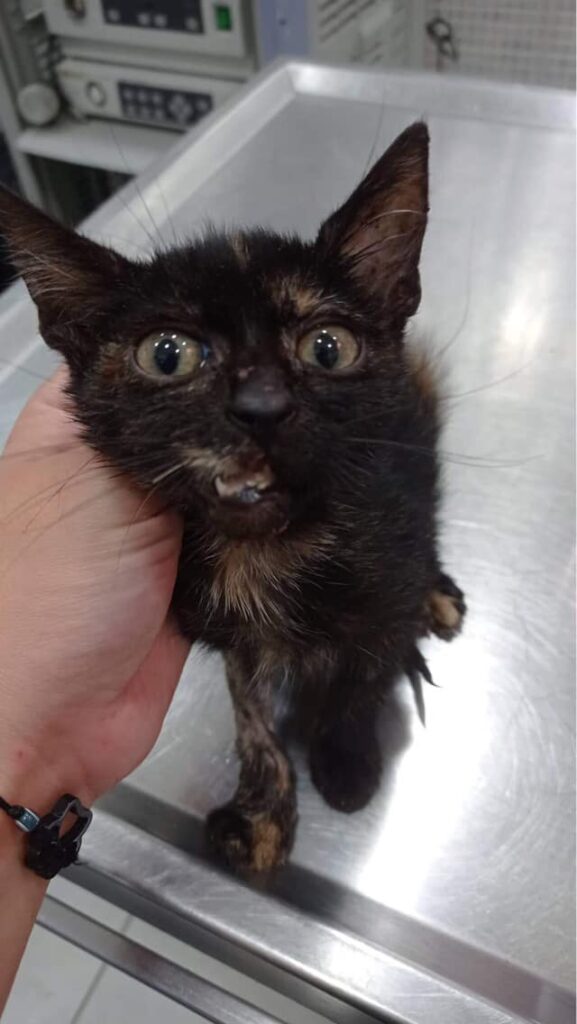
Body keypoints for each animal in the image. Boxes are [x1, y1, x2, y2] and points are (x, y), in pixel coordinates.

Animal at [0, 122, 465, 872]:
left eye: (327, 348)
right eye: (168, 354)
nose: (262, 406)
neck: (268, 552)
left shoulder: (384, 581)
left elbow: (362, 679)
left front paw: (345, 761)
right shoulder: (226, 635)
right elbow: (249, 712)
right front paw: (264, 812)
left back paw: (437, 592)